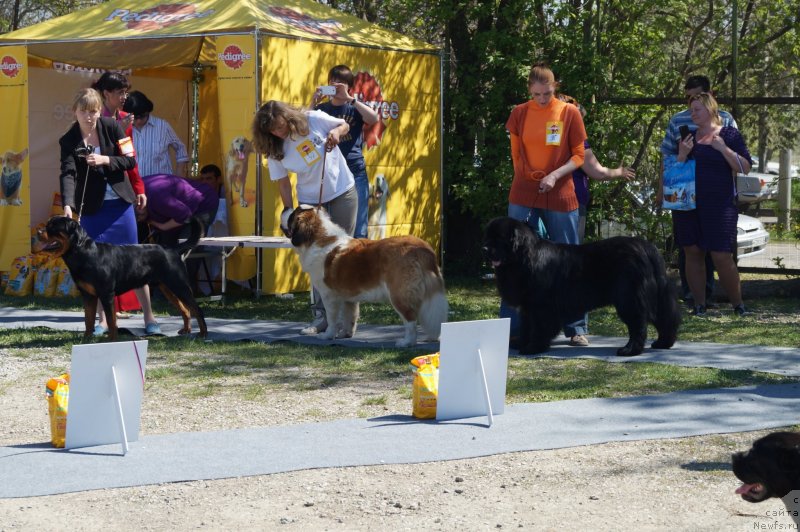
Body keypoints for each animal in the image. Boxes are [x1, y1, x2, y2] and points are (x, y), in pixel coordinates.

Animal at [37, 216, 206, 340]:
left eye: (52, 226)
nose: (38, 232)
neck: (84, 253)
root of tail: (173, 249)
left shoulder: (106, 294)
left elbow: (111, 320)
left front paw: (112, 339)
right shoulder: (88, 295)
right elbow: (88, 319)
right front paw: (86, 339)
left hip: (179, 285)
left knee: (196, 309)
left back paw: (203, 333)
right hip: (168, 288)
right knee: (185, 309)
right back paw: (186, 330)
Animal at [282, 206, 446, 348]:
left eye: (293, 214)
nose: (286, 208)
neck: (318, 238)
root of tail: (421, 248)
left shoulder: (329, 295)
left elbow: (332, 318)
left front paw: (328, 335)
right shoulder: (347, 297)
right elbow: (349, 315)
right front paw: (345, 334)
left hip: (399, 295)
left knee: (410, 319)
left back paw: (406, 342)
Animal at [482, 216, 680, 358]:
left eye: (498, 239)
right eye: (487, 237)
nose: (484, 249)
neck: (524, 258)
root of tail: (646, 246)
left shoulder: (541, 306)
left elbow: (538, 327)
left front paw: (533, 347)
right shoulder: (527, 306)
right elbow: (526, 326)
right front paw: (521, 342)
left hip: (629, 298)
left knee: (638, 324)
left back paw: (630, 350)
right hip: (655, 295)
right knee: (665, 318)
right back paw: (663, 343)